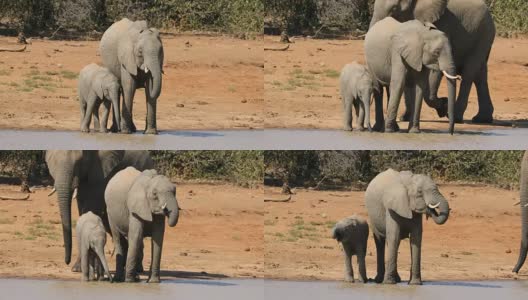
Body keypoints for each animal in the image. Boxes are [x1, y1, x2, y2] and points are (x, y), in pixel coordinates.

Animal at [370, 0, 498, 124]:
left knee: (469, 74)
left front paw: (443, 106)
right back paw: (482, 119)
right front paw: (404, 118)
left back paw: (456, 118)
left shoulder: (442, 24)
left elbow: (434, 72)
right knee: (480, 76)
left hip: (483, 36)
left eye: (394, 8)